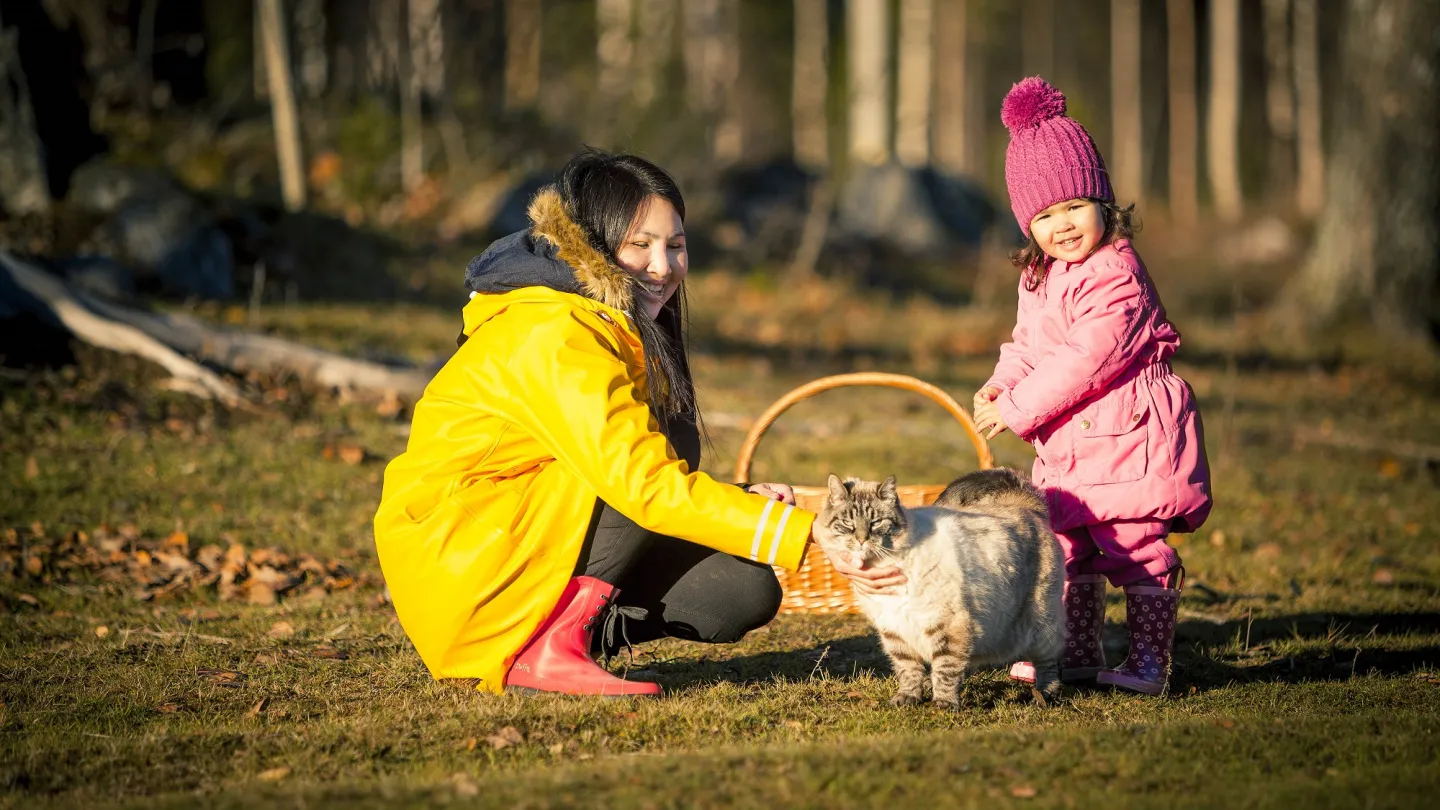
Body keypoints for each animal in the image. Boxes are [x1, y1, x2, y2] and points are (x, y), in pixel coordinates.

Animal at [817, 469, 1065, 703]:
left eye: (876, 522)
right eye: (847, 523)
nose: (861, 540)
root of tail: (1023, 506)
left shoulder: (947, 623)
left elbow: (946, 667)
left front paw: (944, 704)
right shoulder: (894, 630)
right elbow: (908, 670)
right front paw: (908, 698)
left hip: (1040, 628)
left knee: (1048, 663)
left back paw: (1044, 696)